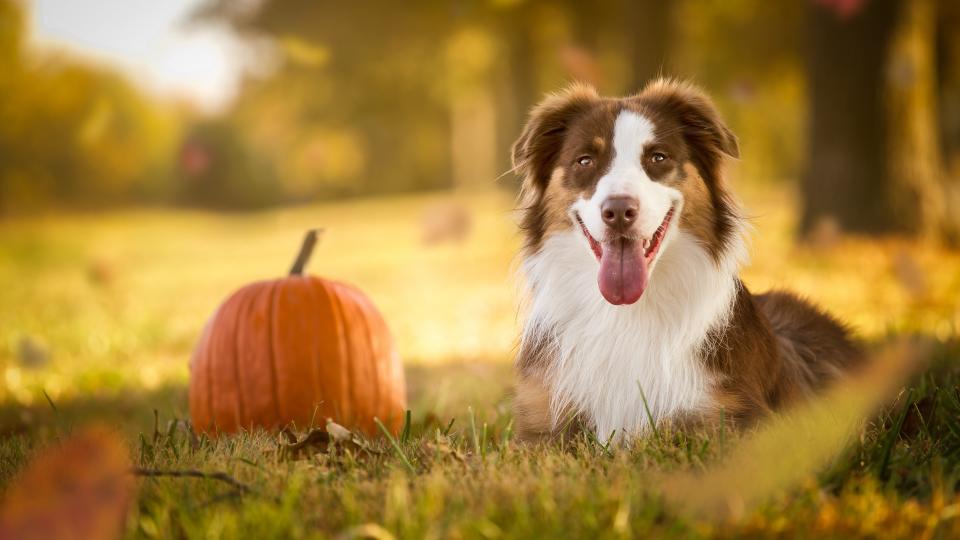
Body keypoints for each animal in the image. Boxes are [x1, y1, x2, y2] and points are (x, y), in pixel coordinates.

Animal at [510, 79, 864, 442]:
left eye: (658, 157)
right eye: (584, 161)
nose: (619, 211)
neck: (628, 313)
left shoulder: (737, 419)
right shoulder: (539, 424)